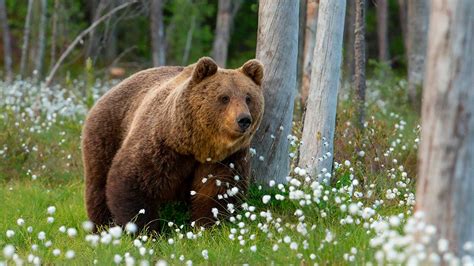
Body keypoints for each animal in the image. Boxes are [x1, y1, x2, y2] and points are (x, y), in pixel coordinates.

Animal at [83, 57, 264, 232]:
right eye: (224, 97)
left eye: (248, 98)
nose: (244, 119)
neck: (197, 146)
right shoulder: (162, 146)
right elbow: (132, 181)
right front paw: (145, 230)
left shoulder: (227, 159)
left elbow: (218, 191)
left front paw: (207, 226)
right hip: (107, 132)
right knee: (98, 183)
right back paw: (101, 225)